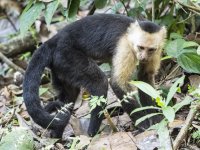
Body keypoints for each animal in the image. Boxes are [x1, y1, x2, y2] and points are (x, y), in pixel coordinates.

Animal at [22, 13, 166, 138]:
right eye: (140, 47)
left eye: (150, 49)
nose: (143, 57)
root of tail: (53, 40)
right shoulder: (125, 46)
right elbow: (117, 82)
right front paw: (144, 125)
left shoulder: (157, 50)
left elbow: (145, 78)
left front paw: (157, 118)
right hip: (66, 54)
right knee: (100, 83)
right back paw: (92, 134)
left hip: (60, 64)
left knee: (69, 96)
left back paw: (56, 133)